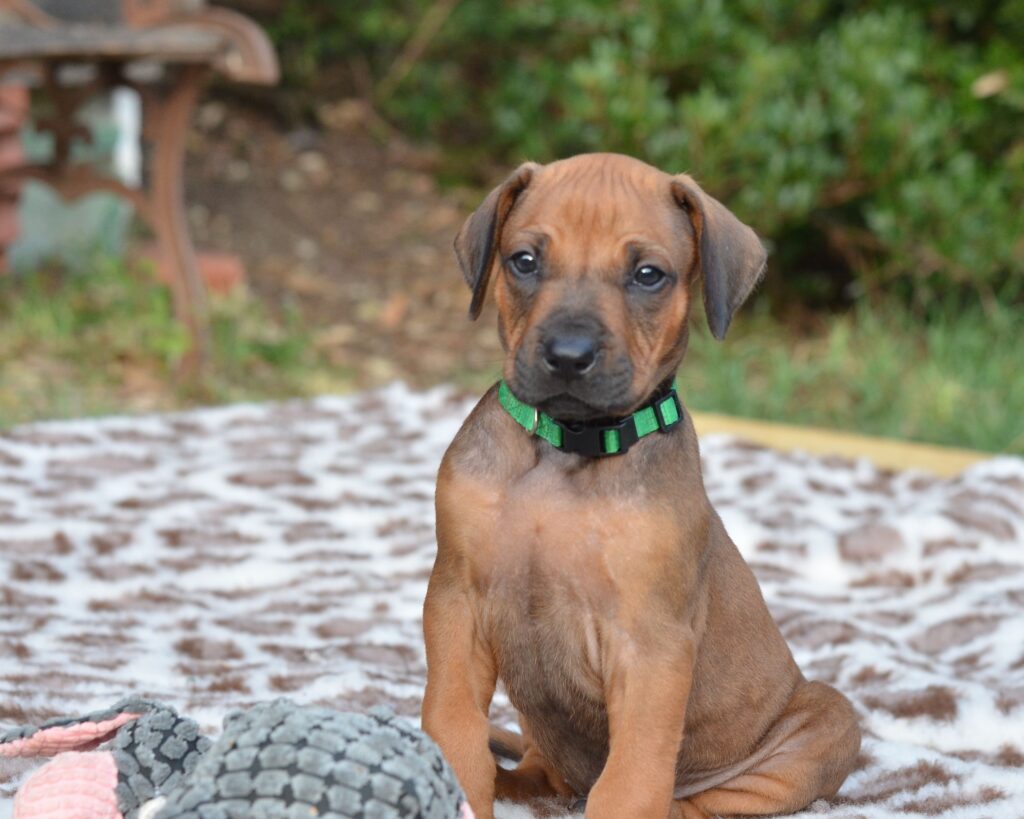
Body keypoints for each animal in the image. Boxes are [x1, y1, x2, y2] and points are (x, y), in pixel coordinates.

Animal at [419, 155, 860, 818]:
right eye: (524, 261)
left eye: (648, 275)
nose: (568, 355)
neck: (569, 449)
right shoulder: (456, 599)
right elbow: (454, 726)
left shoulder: (651, 643)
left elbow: (632, 776)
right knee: (537, 772)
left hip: (826, 721)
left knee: (705, 798)